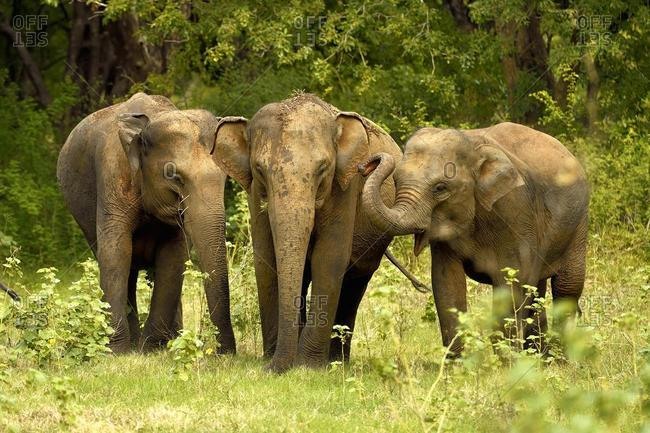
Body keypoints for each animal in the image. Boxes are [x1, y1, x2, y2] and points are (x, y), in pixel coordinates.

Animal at [57, 92, 235, 354]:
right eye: (174, 176)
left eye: (225, 178)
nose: (224, 353)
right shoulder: (112, 174)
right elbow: (117, 252)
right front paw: (117, 351)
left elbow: (174, 256)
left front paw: (152, 348)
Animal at [213, 93, 405, 373]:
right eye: (259, 169)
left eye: (323, 168)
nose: (269, 369)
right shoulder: (254, 193)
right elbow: (266, 259)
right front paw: (275, 358)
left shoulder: (345, 186)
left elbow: (329, 258)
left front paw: (307, 366)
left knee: (356, 280)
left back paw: (336, 361)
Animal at [360, 122, 589, 354]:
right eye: (396, 180)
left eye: (440, 188)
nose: (366, 165)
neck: (473, 147)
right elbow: (446, 282)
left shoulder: (515, 211)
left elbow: (512, 281)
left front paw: (504, 359)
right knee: (537, 290)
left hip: (578, 226)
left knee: (566, 288)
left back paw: (559, 357)